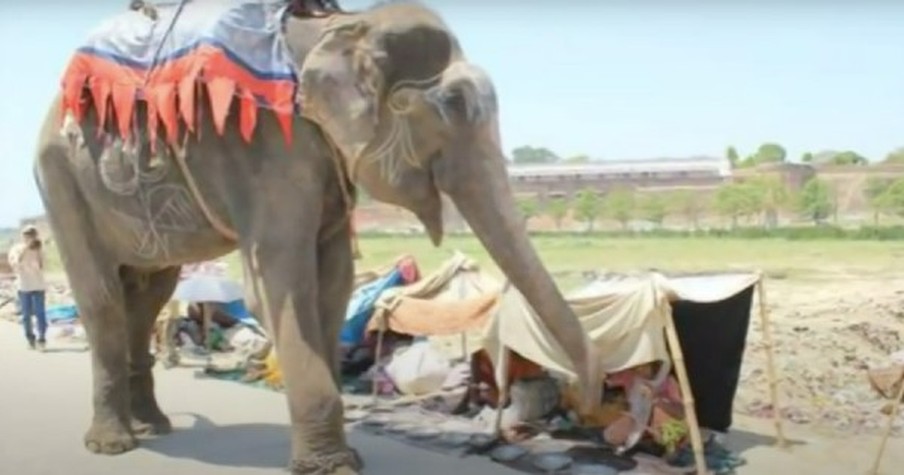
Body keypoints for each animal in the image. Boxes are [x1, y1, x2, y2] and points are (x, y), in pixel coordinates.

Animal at [33, 1, 600, 474]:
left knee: (149, 293)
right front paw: (333, 467)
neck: (342, 27)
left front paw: (343, 456)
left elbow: (333, 285)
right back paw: (113, 444)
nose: (588, 399)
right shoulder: (259, 148)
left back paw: (154, 426)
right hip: (61, 184)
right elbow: (280, 285)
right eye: (452, 106)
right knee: (103, 297)